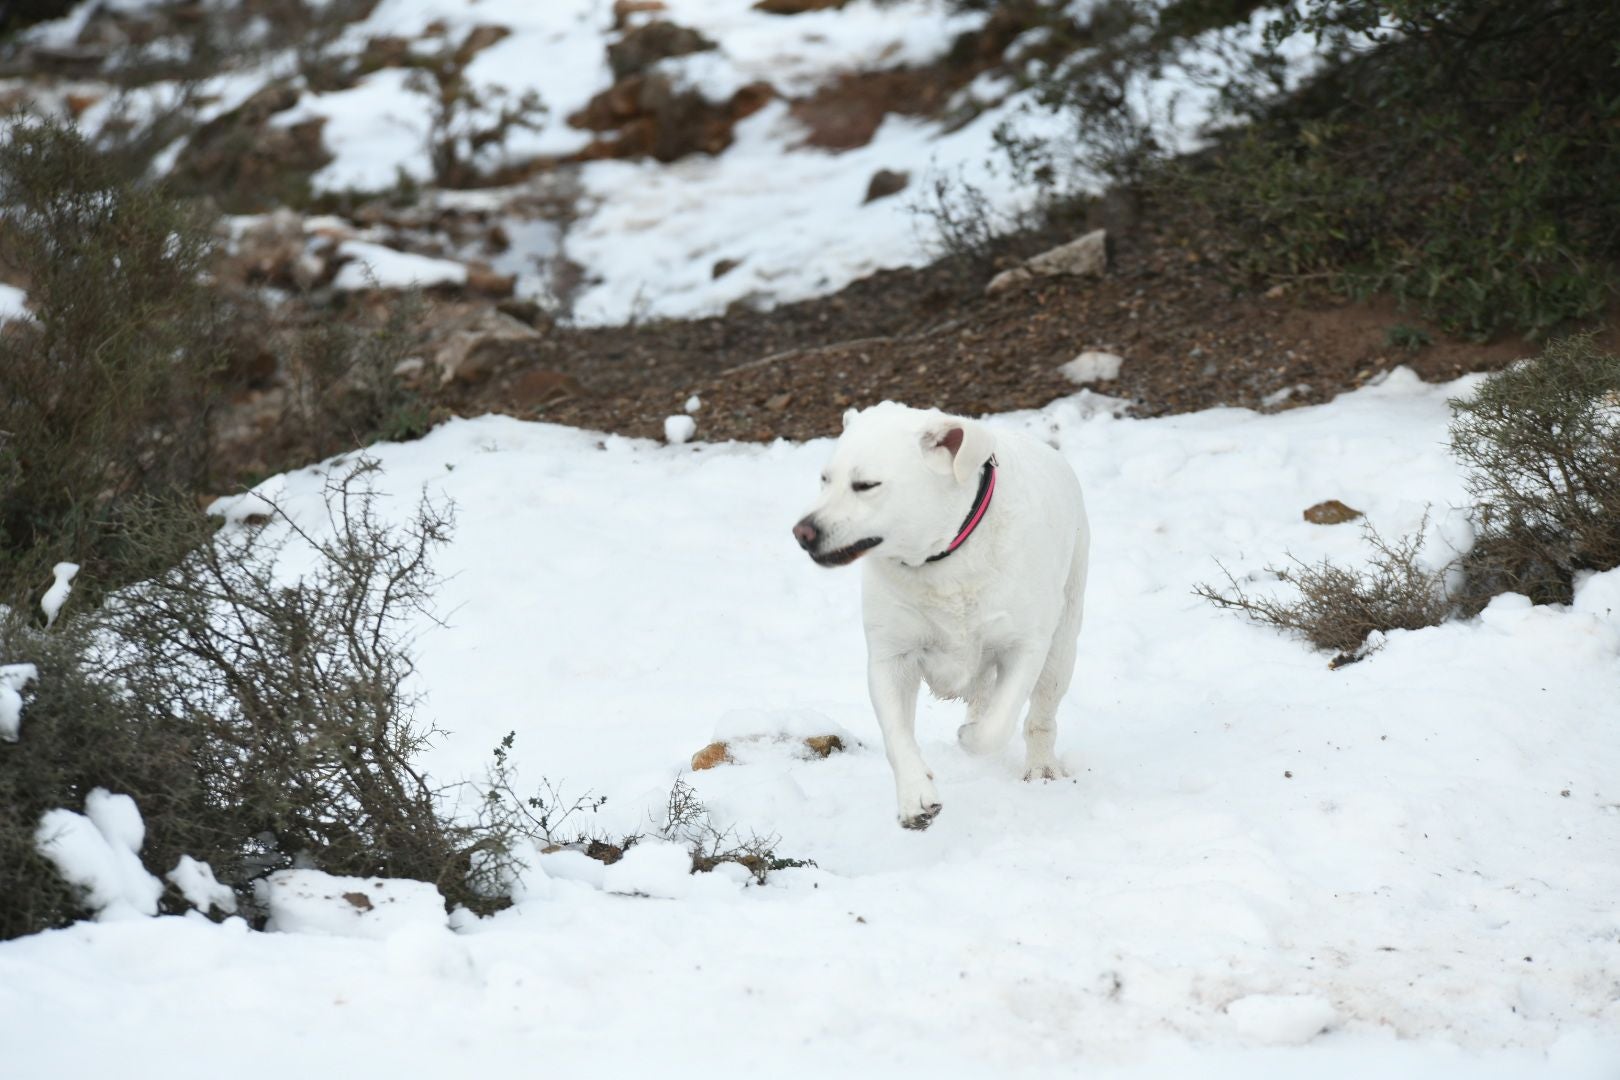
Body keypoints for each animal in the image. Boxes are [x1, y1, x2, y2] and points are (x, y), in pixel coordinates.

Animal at [793, 401, 1088, 835]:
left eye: (865, 485)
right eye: (825, 480)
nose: (802, 532)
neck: (942, 558)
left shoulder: (1026, 646)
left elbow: (996, 727)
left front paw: (970, 737)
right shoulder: (891, 656)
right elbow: (897, 736)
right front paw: (916, 798)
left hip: (1063, 640)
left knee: (1040, 714)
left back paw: (1041, 767)